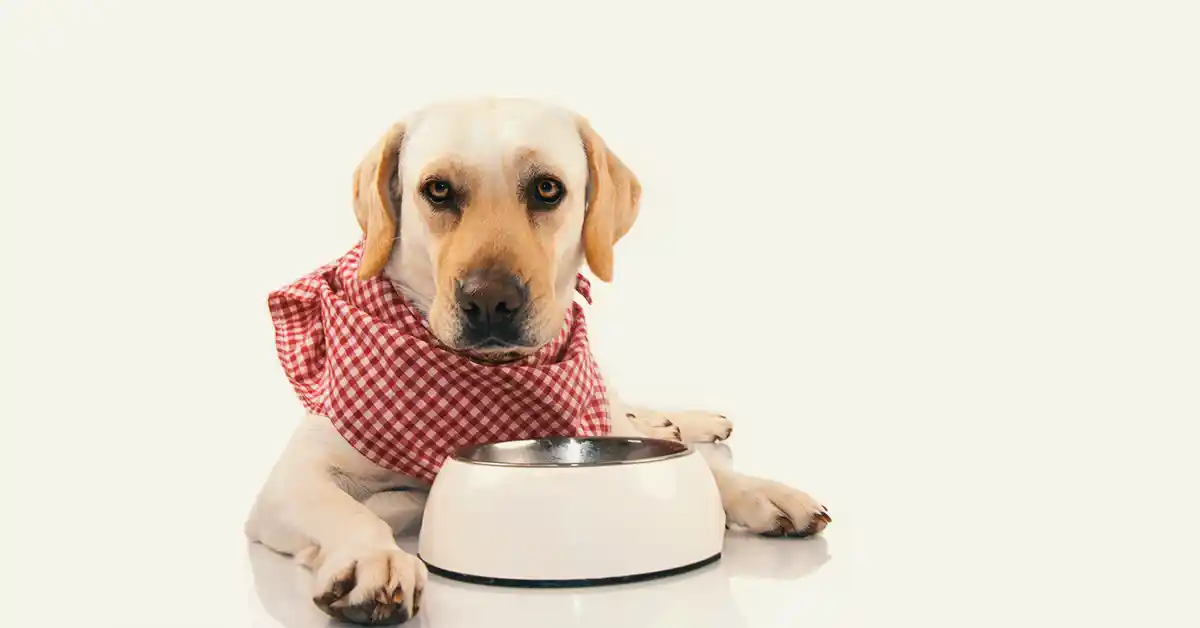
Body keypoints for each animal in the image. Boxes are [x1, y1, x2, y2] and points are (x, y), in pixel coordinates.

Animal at [243, 98, 825, 624]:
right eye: (438, 190)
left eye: (547, 189)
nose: (489, 303)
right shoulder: (293, 478)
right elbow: (347, 509)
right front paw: (373, 558)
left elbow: (709, 472)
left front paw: (762, 492)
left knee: (635, 414)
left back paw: (684, 421)